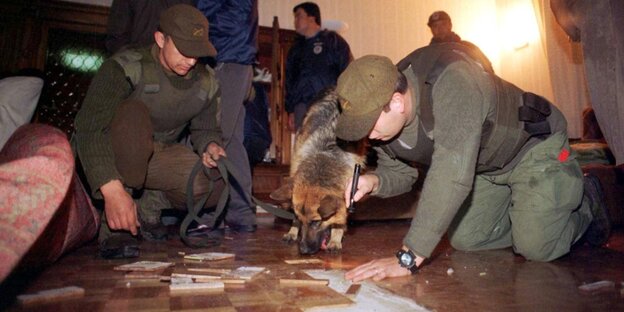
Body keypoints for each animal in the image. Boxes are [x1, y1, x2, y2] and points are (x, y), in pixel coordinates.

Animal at [270, 89, 366, 255]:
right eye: (300, 219)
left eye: (316, 222)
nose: (302, 250)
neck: (326, 152)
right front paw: (293, 231)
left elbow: (340, 220)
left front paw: (335, 239)